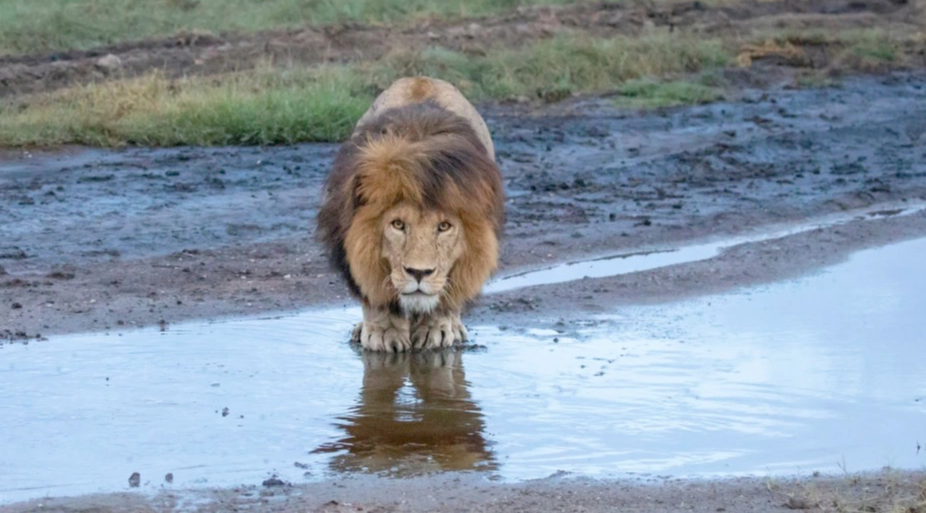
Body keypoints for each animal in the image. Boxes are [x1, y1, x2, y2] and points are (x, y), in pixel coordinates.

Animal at [320, 77, 508, 352]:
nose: (419, 273)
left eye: (444, 226)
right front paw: (383, 331)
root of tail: (422, 78)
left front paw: (435, 330)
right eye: (398, 224)